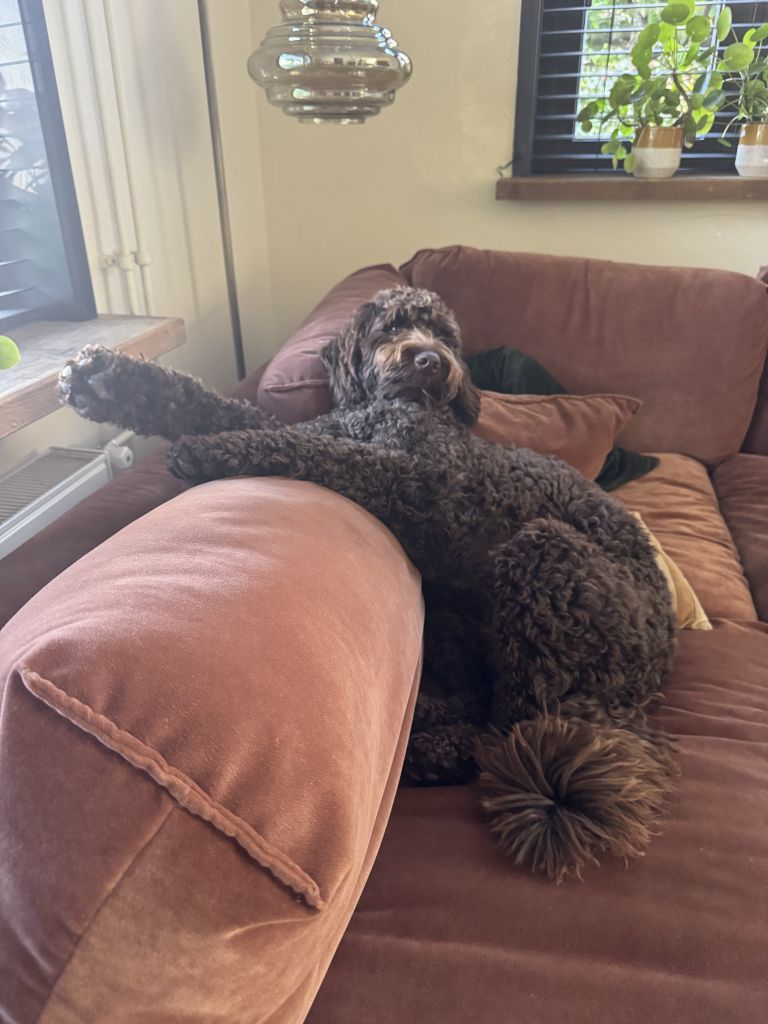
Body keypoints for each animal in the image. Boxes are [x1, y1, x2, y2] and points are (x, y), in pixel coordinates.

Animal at [59, 286, 677, 881]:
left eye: (445, 334)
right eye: (393, 326)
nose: (430, 359)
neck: (401, 407)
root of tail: (649, 677)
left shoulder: (419, 481)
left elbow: (314, 452)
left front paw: (214, 451)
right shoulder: (336, 431)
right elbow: (219, 407)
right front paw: (105, 380)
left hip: (544, 557)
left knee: (510, 726)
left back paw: (426, 753)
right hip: (459, 612)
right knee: (481, 701)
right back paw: (420, 727)